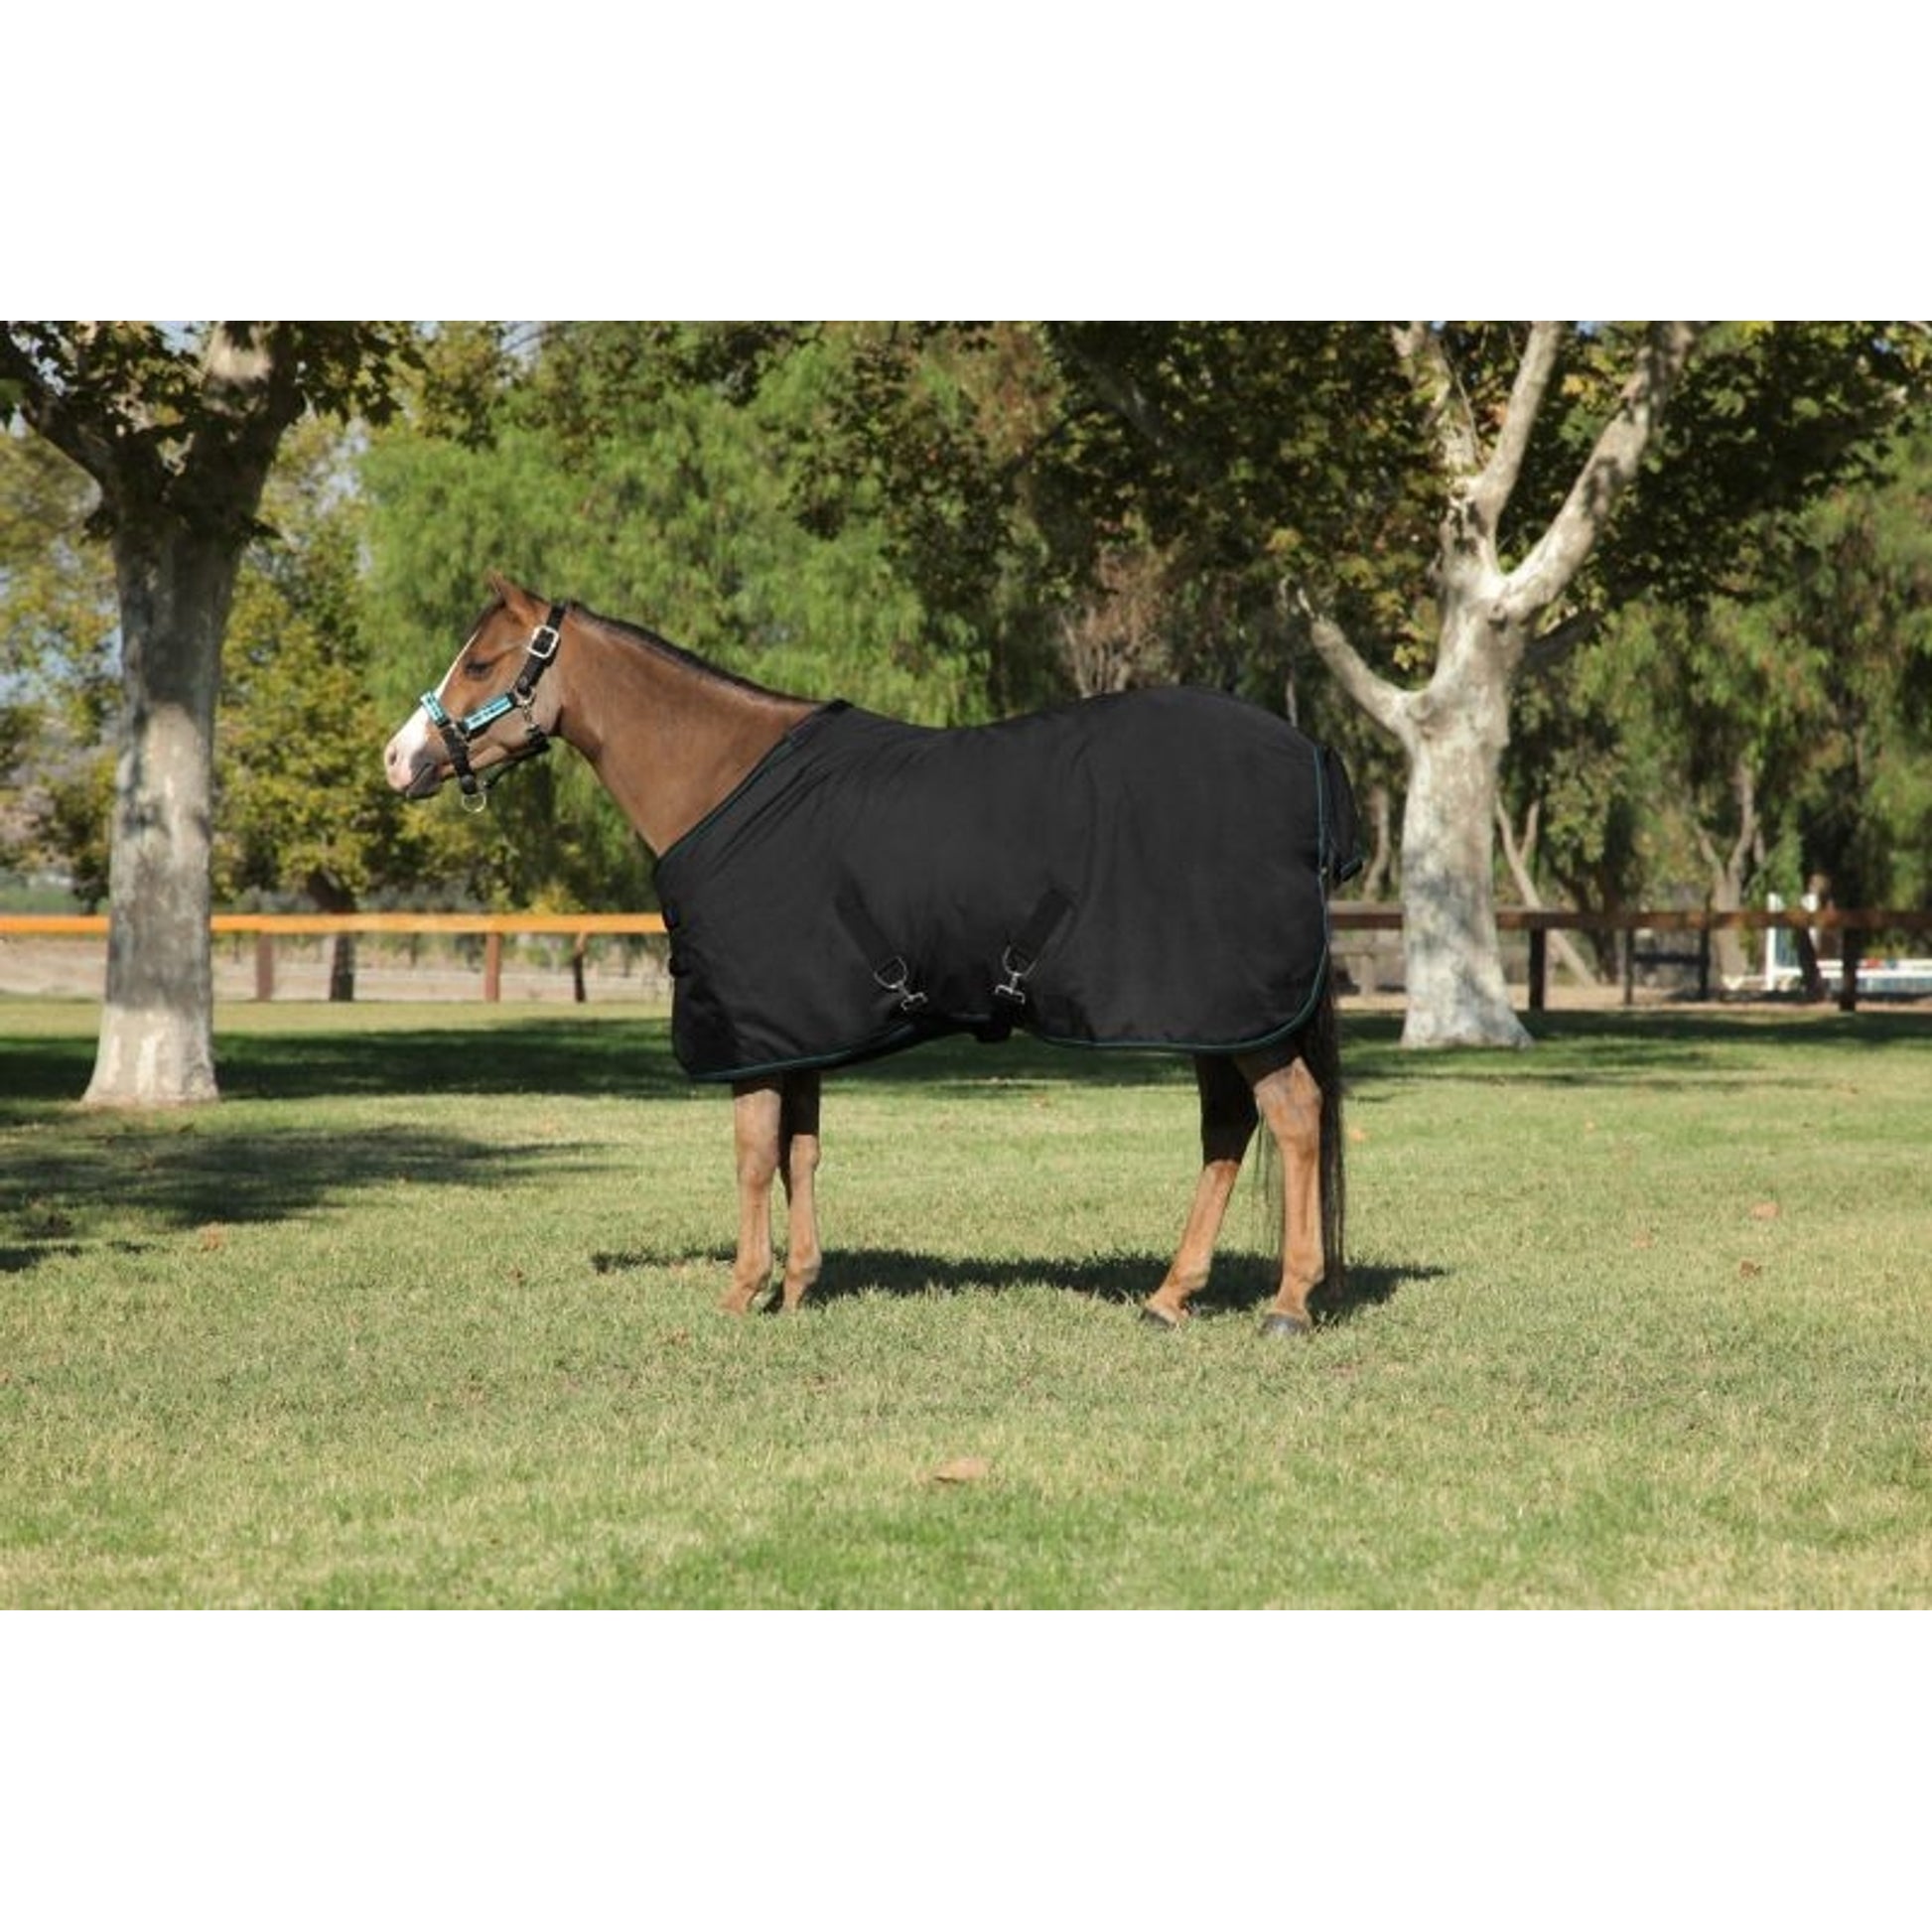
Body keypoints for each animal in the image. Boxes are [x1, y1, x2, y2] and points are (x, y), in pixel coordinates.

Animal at [383, 575, 1361, 1336]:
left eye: (480, 663)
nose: (399, 759)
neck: (724, 780)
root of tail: (1307, 754)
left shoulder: (751, 1030)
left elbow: (753, 1153)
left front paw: (741, 1294)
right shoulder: (796, 1028)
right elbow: (801, 1150)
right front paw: (797, 1289)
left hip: (1235, 1010)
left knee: (1294, 1117)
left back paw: (1288, 1303)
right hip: (1218, 1016)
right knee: (1229, 1129)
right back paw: (1170, 1296)